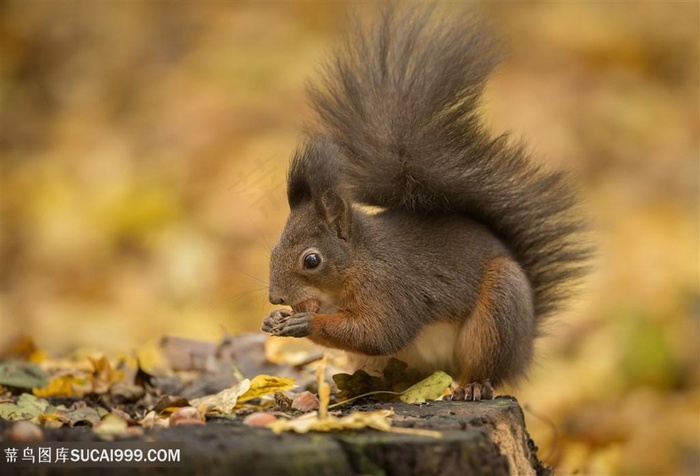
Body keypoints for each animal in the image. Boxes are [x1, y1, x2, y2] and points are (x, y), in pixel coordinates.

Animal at [260, 4, 588, 398]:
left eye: (312, 260)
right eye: (274, 249)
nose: (276, 298)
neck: (358, 262)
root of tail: (525, 349)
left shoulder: (391, 287)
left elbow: (380, 332)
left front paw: (306, 322)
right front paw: (277, 318)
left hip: (497, 312)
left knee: (484, 368)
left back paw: (472, 386)